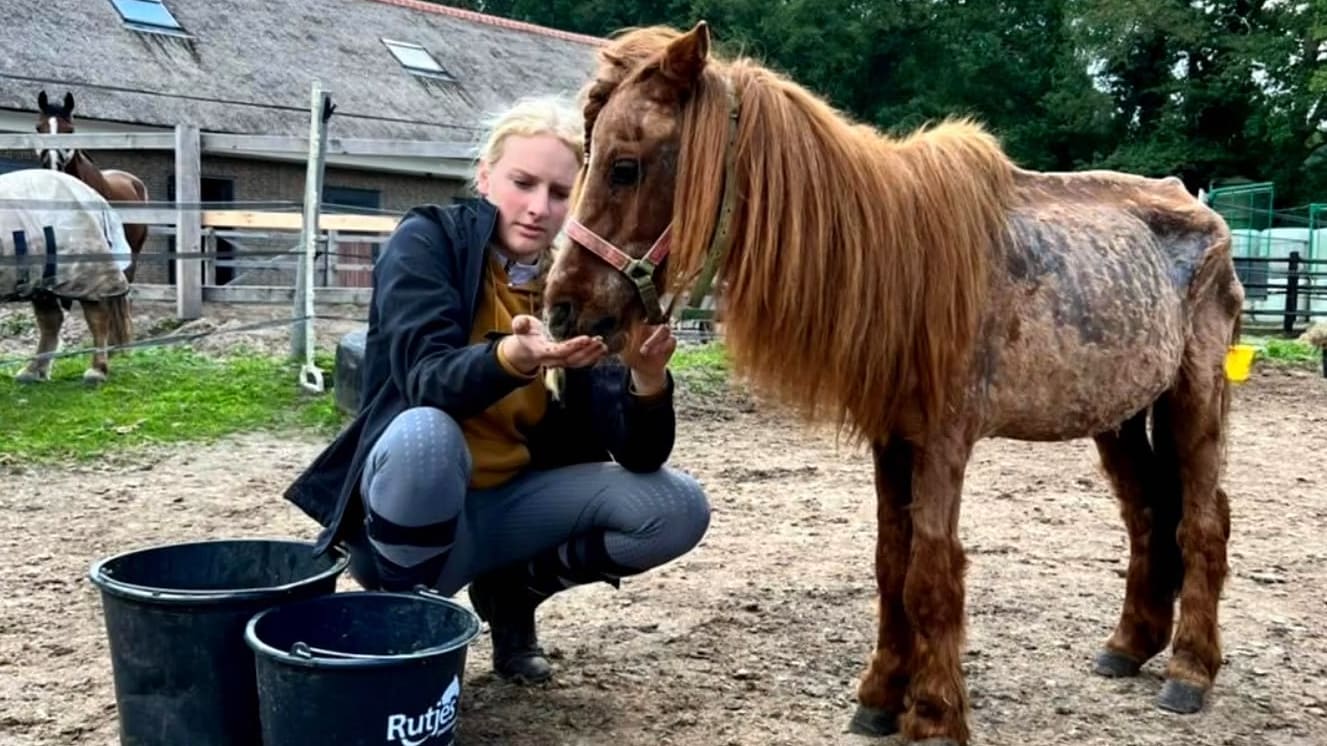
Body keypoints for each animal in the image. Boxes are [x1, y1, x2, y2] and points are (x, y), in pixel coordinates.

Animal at [2, 165, 134, 379]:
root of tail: (94, 196)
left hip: (85, 275)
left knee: (97, 317)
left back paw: (97, 371)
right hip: (44, 282)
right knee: (51, 321)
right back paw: (33, 371)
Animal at [538, 23, 1242, 743]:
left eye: (625, 166)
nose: (561, 309)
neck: (900, 261)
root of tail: (1201, 212)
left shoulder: (943, 441)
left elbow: (930, 573)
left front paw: (933, 715)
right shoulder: (892, 437)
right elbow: (890, 564)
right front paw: (880, 694)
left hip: (1194, 396)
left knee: (1203, 522)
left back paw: (1190, 671)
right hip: (1119, 416)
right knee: (1148, 515)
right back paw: (1128, 646)